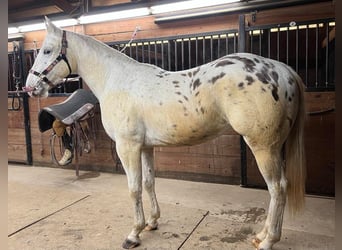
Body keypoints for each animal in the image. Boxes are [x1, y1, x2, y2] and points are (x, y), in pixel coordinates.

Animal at [25, 16, 306, 249]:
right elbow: (149, 183)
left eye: (47, 50)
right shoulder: (145, 147)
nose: (29, 87)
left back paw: (268, 240)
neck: (117, 80)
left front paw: (133, 234)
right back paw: (261, 235)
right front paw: (152, 222)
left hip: (263, 147)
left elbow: (134, 188)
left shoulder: (127, 147)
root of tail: (282, 69)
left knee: (277, 188)